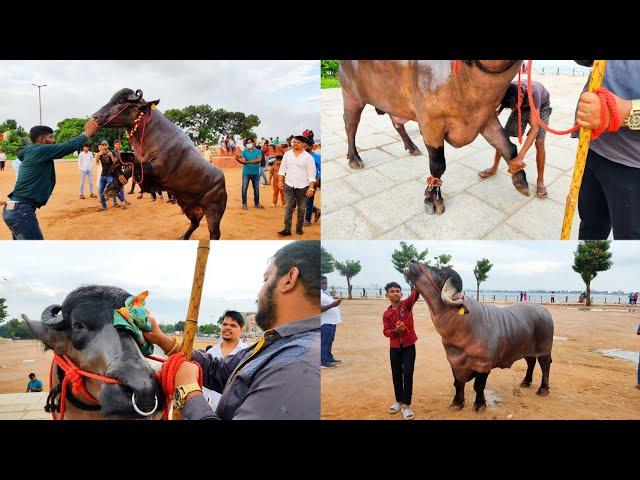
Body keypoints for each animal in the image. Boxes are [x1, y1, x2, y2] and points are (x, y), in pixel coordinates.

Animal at [94, 89, 226, 239]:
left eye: (120, 102)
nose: (95, 117)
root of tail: (221, 178)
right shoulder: (139, 158)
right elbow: (125, 158)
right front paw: (114, 174)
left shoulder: (158, 168)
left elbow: (133, 168)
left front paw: (111, 189)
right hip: (187, 205)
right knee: (195, 222)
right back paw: (183, 237)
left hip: (214, 209)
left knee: (214, 233)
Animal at [338, 61, 528, 215]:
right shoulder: (431, 122)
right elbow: (437, 165)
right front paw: (433, 198)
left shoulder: (485, 116)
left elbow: (506, 145)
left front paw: (520, 180)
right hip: (351, 97)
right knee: (350, 126)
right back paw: (354, 158)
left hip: (394, 101)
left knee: (397, 123)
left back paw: (412, 147)